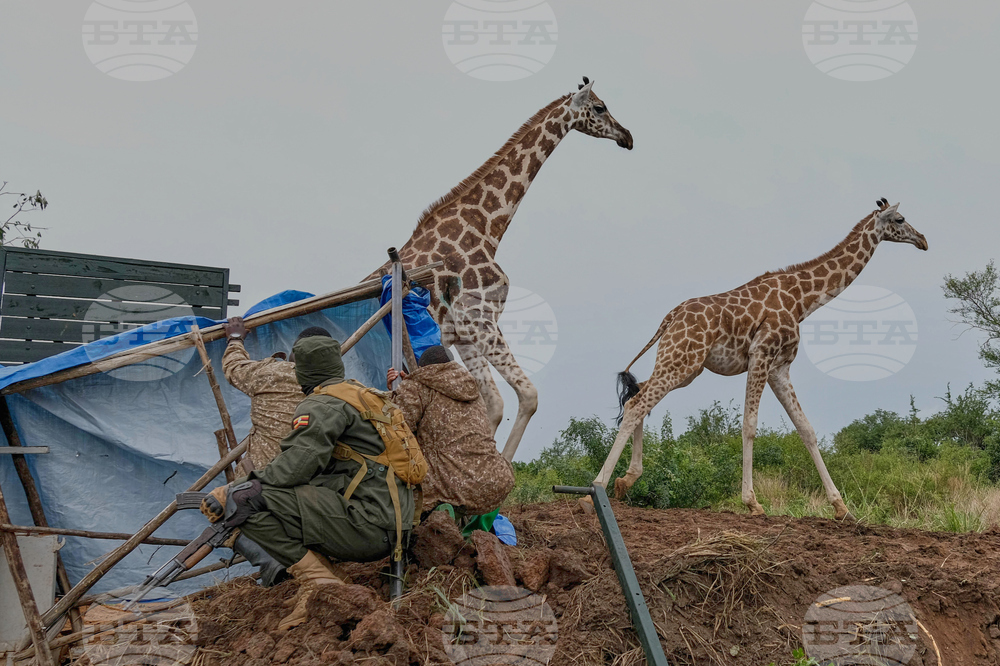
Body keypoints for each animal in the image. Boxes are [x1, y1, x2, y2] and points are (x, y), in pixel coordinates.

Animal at [366, 78, 633, 462]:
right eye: (599, 107)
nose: (628, 136)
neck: (486, 229)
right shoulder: (481, 320)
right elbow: (528, 395)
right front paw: (502, 469)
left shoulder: (464, 333)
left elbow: (492, 405)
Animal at [593, 199, 928, 520]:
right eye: (900, 219)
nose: (923, 240)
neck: (802, 300)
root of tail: (670, 317)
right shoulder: (761, 355)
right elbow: (749, 425)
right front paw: (752, 502)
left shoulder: (780, 367)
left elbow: (806, 428)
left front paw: (841, 507)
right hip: (683, 360)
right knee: (637, 404)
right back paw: (597, 486)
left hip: (684, 365)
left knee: (638, 394)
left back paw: (625, 481)